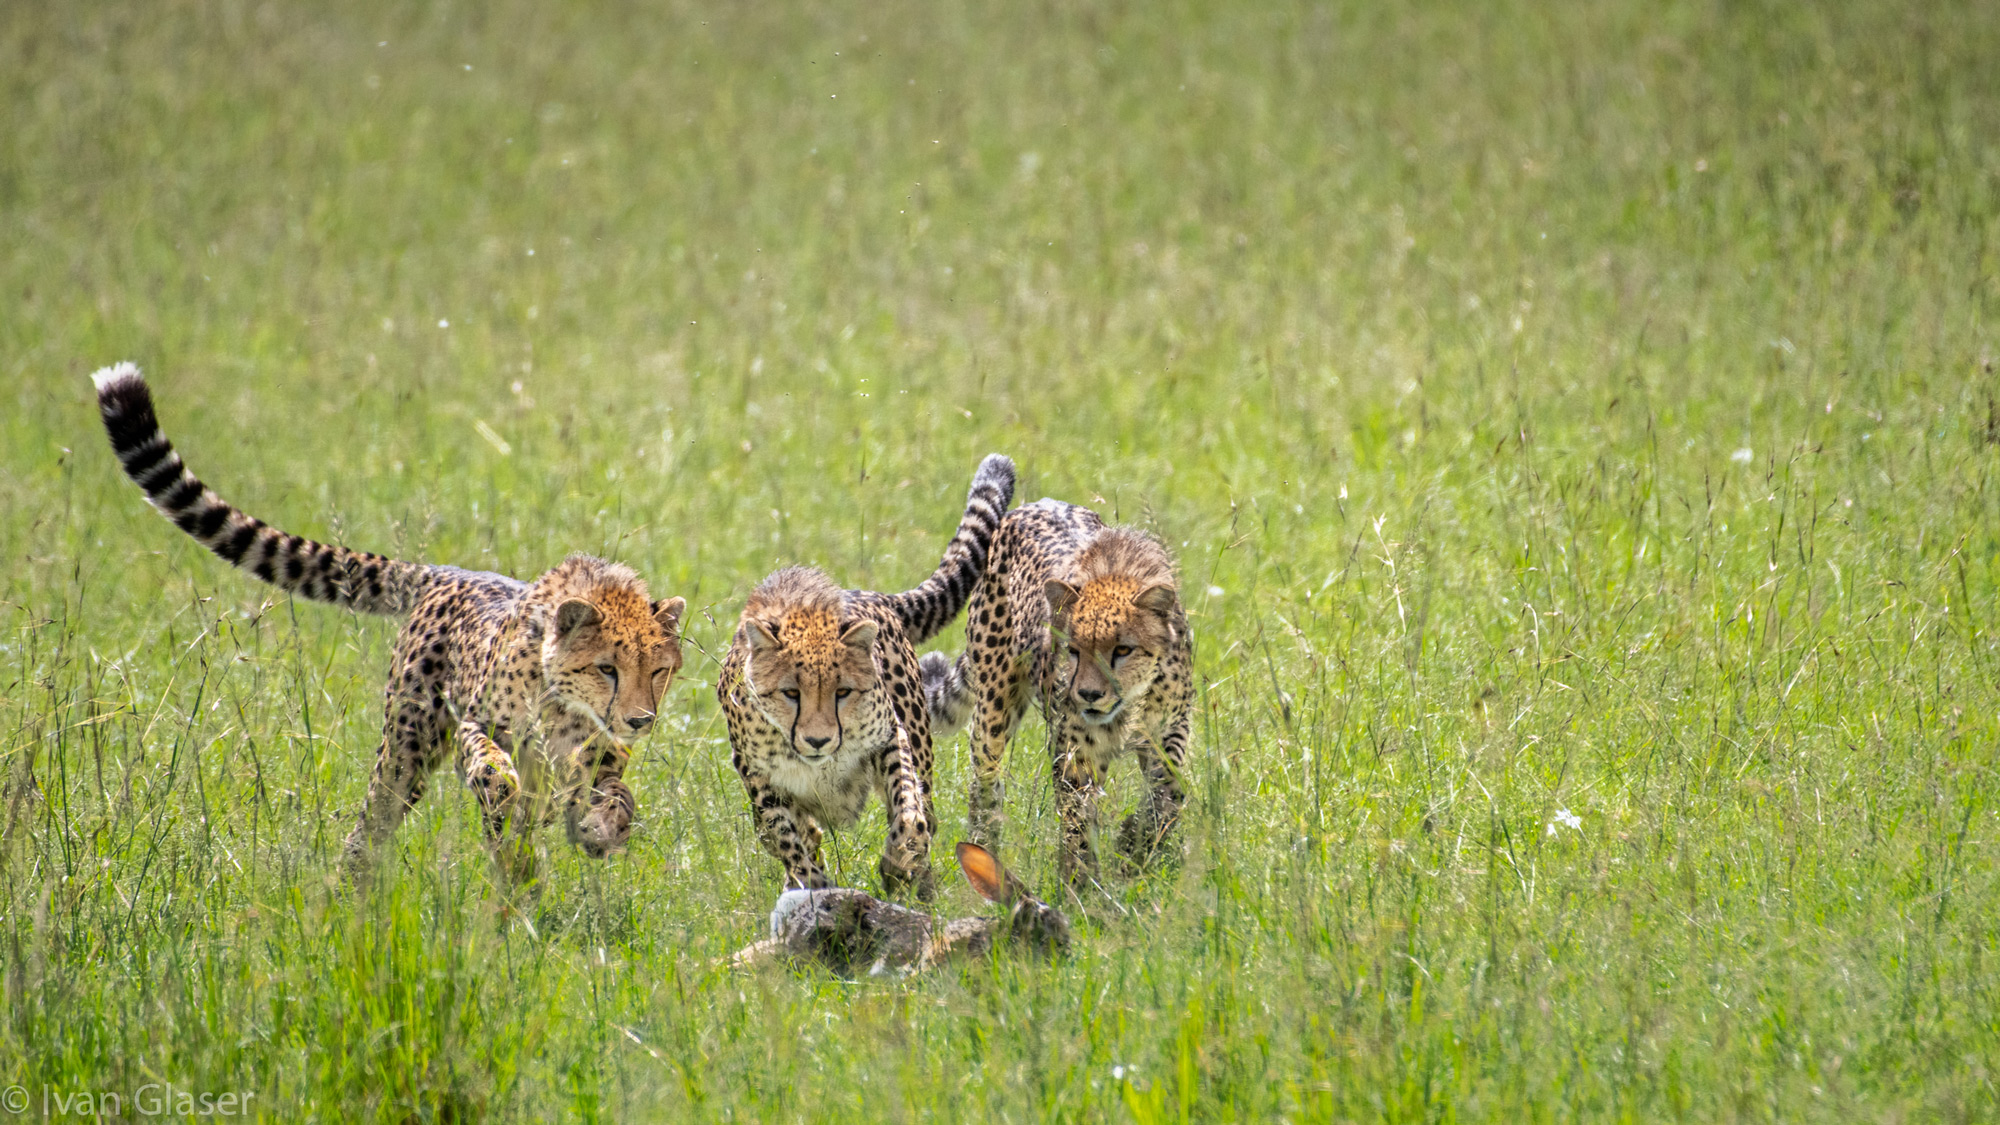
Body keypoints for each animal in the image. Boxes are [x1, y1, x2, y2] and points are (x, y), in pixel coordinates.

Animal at [92, 364, 688, 888]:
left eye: (658, 671)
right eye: (607, 668)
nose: (640, 719)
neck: (565, 705)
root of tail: (447, 571)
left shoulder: (602, 758)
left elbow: (615, 794)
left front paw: (600, 829)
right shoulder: (476, 723)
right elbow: (490, 765)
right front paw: (504, 794)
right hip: (406, 750)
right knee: (373, 823)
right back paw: (350, 893)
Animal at [720, 450, 1016, 896]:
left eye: (843, 692)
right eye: (791, 693)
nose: (819, 740)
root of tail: (871, 595)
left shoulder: (891, 738)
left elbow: (908, 804)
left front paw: (899, 857)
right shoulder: (759, 779)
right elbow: (788, 839)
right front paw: (814, 888)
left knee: (927, 810)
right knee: (799, 835)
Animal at [916, 498, 1184, 884]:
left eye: (1122, 649)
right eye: (1072, 650)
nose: (1089, 695)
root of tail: (1031, 505)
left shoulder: (1169, 726)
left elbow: (1169, 790)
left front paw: (1138, 840)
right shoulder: (1074, 748)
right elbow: (1077, 817)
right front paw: (1082, 881)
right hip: (994, 709)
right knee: (985, 782)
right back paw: (982, 851)